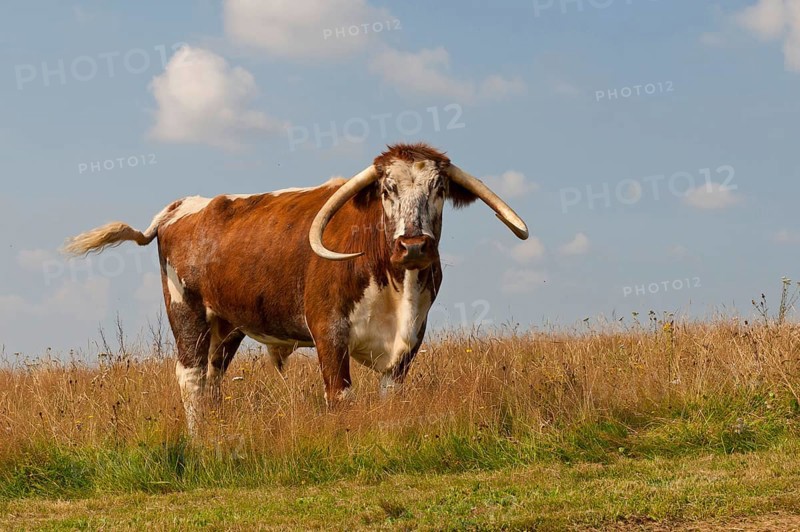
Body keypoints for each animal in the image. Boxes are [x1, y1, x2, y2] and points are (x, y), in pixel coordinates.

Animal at [64, 143, 529, 432]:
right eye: (386, 188)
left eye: (439, 188)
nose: (413, 244)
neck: (399, 292)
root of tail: (183, 205)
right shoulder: (329, 331)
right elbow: (340, 396)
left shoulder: (410, 340)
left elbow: (389, 399)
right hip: (187, 313)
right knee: (192, 378)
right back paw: (199, 442)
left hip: (226, 326)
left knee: (213, 381)